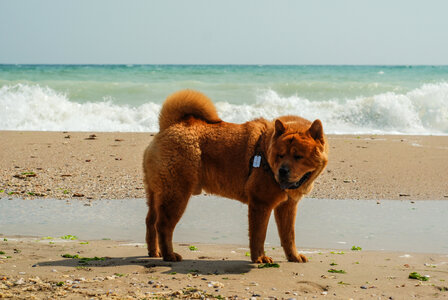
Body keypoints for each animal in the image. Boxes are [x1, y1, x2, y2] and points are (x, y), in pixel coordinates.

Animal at [144, 90, 328, 264]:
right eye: (280, 155)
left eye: (298, 156)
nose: (282, 171)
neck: (265, 149)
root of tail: (169, 125)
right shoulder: (260, 203)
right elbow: (259, 235)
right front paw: (260, 258)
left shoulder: (288, 206)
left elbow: (288, 235)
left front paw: (294, 256)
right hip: (176, 194)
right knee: (163, 225)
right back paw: (169, 255)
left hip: (156, 193)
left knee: (150, 221)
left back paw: (154, 252)